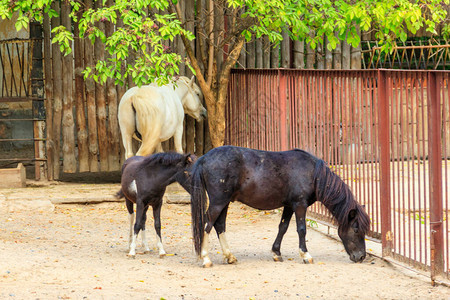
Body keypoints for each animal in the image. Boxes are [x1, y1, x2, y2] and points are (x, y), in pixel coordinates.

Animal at [190, 145, 370, 268]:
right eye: (356, 229)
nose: (361, 257)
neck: (313, 173)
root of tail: (204, 158)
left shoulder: (289, 206)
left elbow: (282, 227)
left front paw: (276, 253)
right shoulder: (300, 205)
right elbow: (301, 229)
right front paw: (305, 255)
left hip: (225, 202)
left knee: (219, 225)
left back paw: (229, 256)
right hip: (218, 202)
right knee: (207, 224)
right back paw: (206, 258)